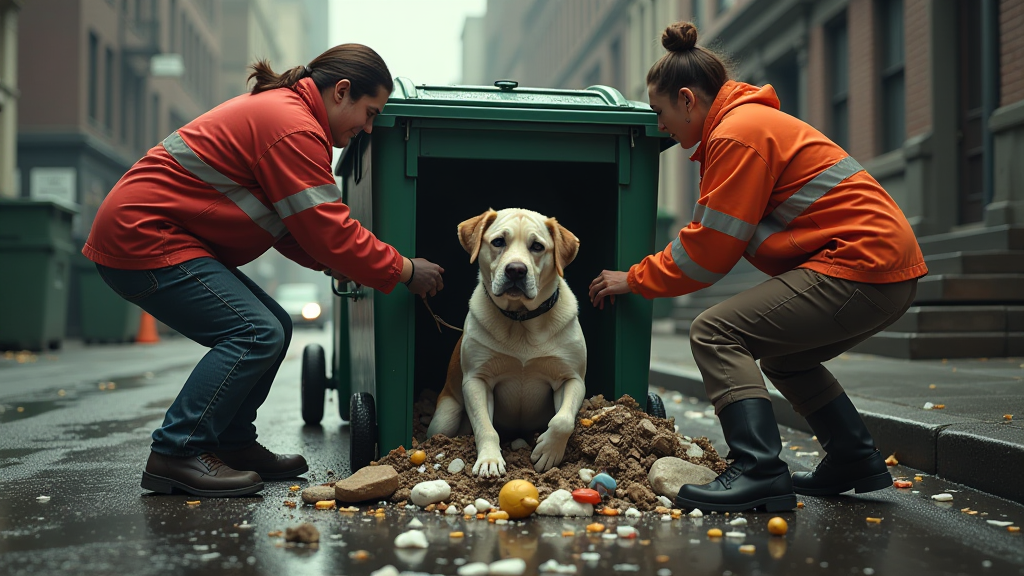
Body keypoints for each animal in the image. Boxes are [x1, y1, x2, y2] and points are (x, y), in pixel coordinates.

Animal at [423, 207, 585, 475]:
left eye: (537, 246)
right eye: (498, 242)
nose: (516, 270)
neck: (520, 321)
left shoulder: (571, 378)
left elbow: (562, 421)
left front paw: (548, 451)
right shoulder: (477, 380)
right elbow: (485, 427)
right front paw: (489, 460)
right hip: (445, 415)